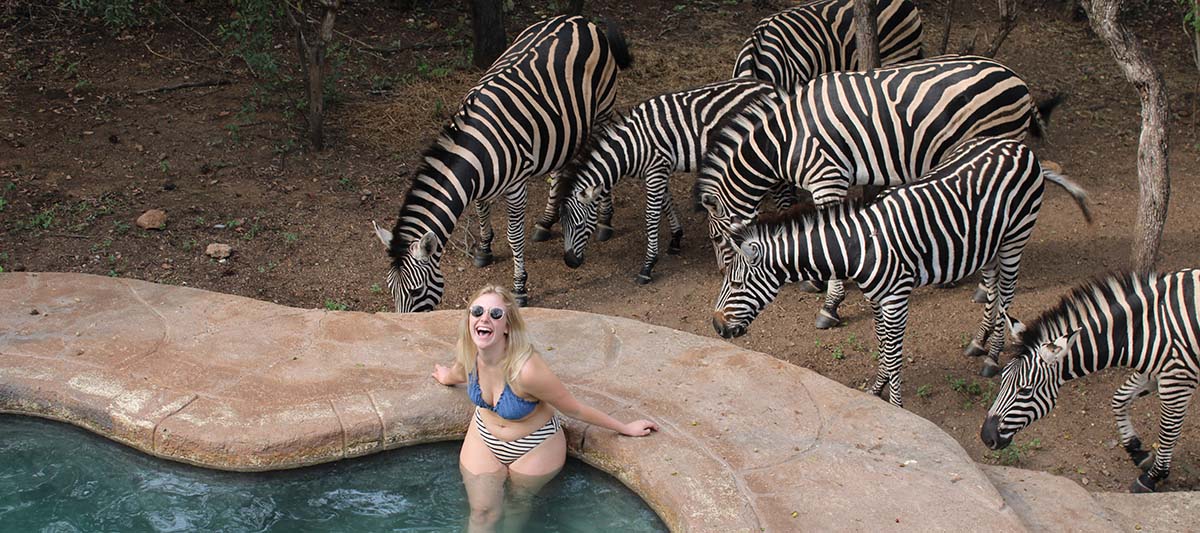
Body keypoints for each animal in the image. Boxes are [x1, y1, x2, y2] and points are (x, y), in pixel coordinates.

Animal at [373, 16, 632, 311]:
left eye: (416, 291)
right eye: (391, 289)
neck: (477, 151)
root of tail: (579, 19)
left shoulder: (517, 186)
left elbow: (514, 236)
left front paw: (519, 287)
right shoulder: (478, 186)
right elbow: (482, 212)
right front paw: (484, 249)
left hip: (603, 109)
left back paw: (605, 221)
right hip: (561, 128)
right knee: (557, 170)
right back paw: (546, 221)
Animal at [552, 78, 781, 284]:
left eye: (579, 224)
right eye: (561, 223)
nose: (570, 262)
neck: (632, 147)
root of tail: (772, 86)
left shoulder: (656, 168)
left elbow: (652, 216)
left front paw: (648, 265)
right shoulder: (658, 169)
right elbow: (666, 203)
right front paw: (676, 238)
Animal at [698, 54, 1059, 330]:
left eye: (717, 239)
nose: (721, 273)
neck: (785, 139)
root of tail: (1017, 79)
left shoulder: (828, 177)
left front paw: (830, 306)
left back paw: (984, 289)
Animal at [710, 137, 1091, 406]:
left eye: (737, 282)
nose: (715, 326)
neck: (857, 246)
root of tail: (1021, 148)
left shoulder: (896, 299)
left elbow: (894, 354)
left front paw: (895, 404)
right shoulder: (877, 298)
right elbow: (882, 344)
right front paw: (876, 388)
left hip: (1015, 239)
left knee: (1007, 295)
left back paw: (994, 354)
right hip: (988, 243)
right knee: (994, 291)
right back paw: (978, 342)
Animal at [982, 269, 1200, 493]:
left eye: (1025, 390)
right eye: (1002, 379)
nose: (986, 436)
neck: (1143, 330)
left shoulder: (1177, 380)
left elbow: (1168, 430)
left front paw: (1152, 477)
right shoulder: (1153, 371)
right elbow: (1119, 399)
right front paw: (1138, 453)